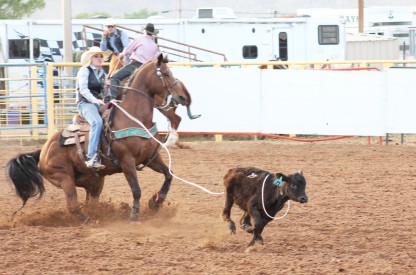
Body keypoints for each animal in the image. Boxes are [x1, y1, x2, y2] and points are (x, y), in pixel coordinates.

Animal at [4, 53, 187, 224]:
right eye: (165, 73)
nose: (183, 97)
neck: (135, 118)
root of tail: (42, 151)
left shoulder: (152, 157)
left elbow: (169, 175)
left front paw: (155, 203)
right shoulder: (127, 161)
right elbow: (136, 189)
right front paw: (135, 215)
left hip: (94, 181)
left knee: (90, 203)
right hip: (65, 178)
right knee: (73, 206)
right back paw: (90, 221)